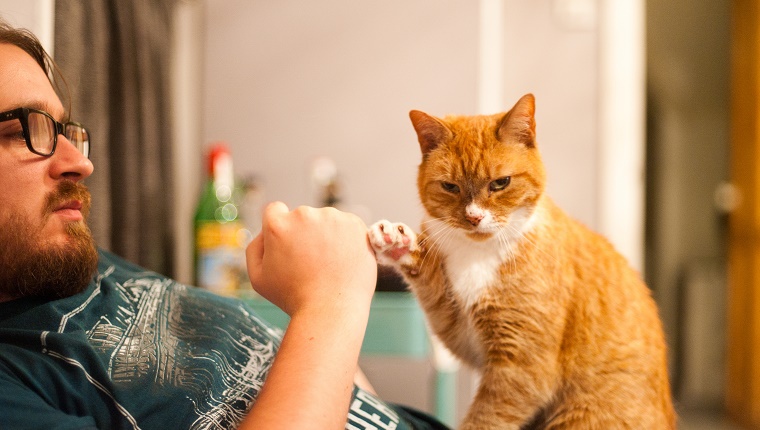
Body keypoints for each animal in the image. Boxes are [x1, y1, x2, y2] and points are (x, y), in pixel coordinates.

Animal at [372, 95, 672, 430]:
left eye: (500, 183)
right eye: (450, 187)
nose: (473, 217)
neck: (481, 253)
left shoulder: (522, 367)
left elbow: (485, 420)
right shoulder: (458, 329)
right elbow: (430, 281)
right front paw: (397, 244)